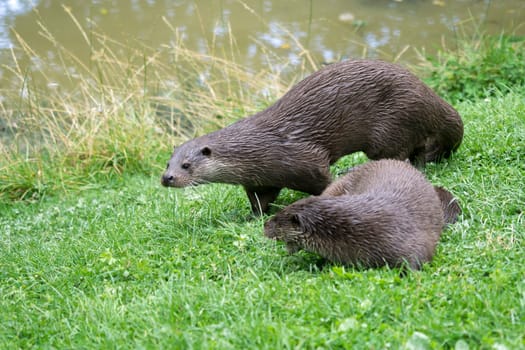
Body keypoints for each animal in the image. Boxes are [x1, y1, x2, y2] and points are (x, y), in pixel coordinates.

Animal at [161, 58, 462, 215]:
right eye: (167, 163)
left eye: (186, 165)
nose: (167, 178)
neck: (257, 149)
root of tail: (426, 93)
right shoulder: (261, 181)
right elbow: (260, 200)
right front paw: (253, 216)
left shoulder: (305, 162)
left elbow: (324, 181)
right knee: (419, 151)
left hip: (390, 127)